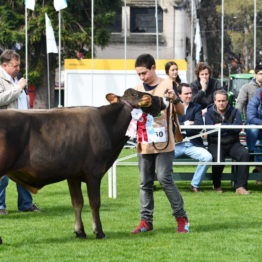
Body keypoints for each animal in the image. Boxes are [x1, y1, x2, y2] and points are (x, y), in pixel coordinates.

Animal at [0, 88, 167, 242]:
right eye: (146, 97)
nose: (162, 100)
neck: (107, 126)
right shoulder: (94, 173)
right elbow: (94, 203)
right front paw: (99, 232)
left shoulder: (73, 175)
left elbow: (77, 202)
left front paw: (80, 232)